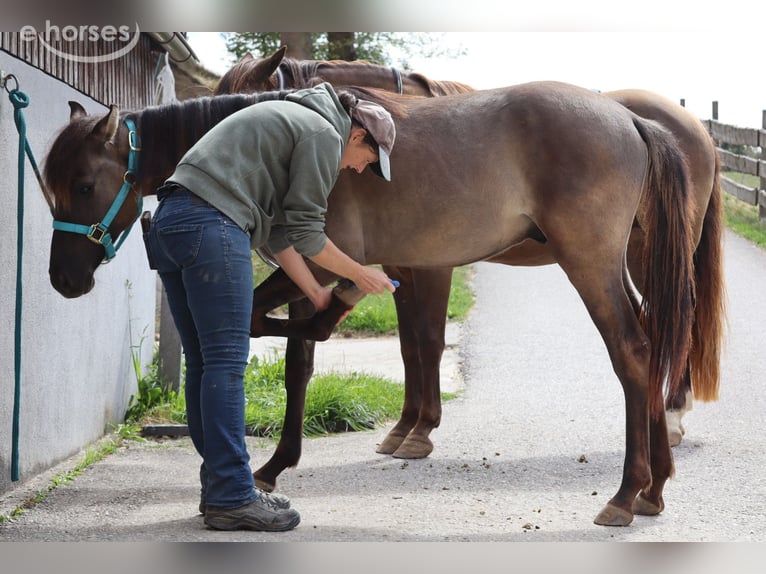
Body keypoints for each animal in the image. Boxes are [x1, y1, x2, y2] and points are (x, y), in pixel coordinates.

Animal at [45, 81, 701, 526]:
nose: (63, 280)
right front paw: (276, 464)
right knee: (652, 346)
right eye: (50, 187)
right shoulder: (310, 265)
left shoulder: (316, 260)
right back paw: (655, 488)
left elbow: (276, 328)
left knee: (633, 352)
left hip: (590, 264)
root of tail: (629, 118)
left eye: (84, 185)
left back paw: (626, 492)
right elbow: (300, 359)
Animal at [215, 49, 725, 452]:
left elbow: (429, 340)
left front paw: (421, 431)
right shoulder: (400, 266)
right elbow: (408, 345)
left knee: (676, 314)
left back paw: (672, 416)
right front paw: (403, 428)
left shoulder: (433, 268)